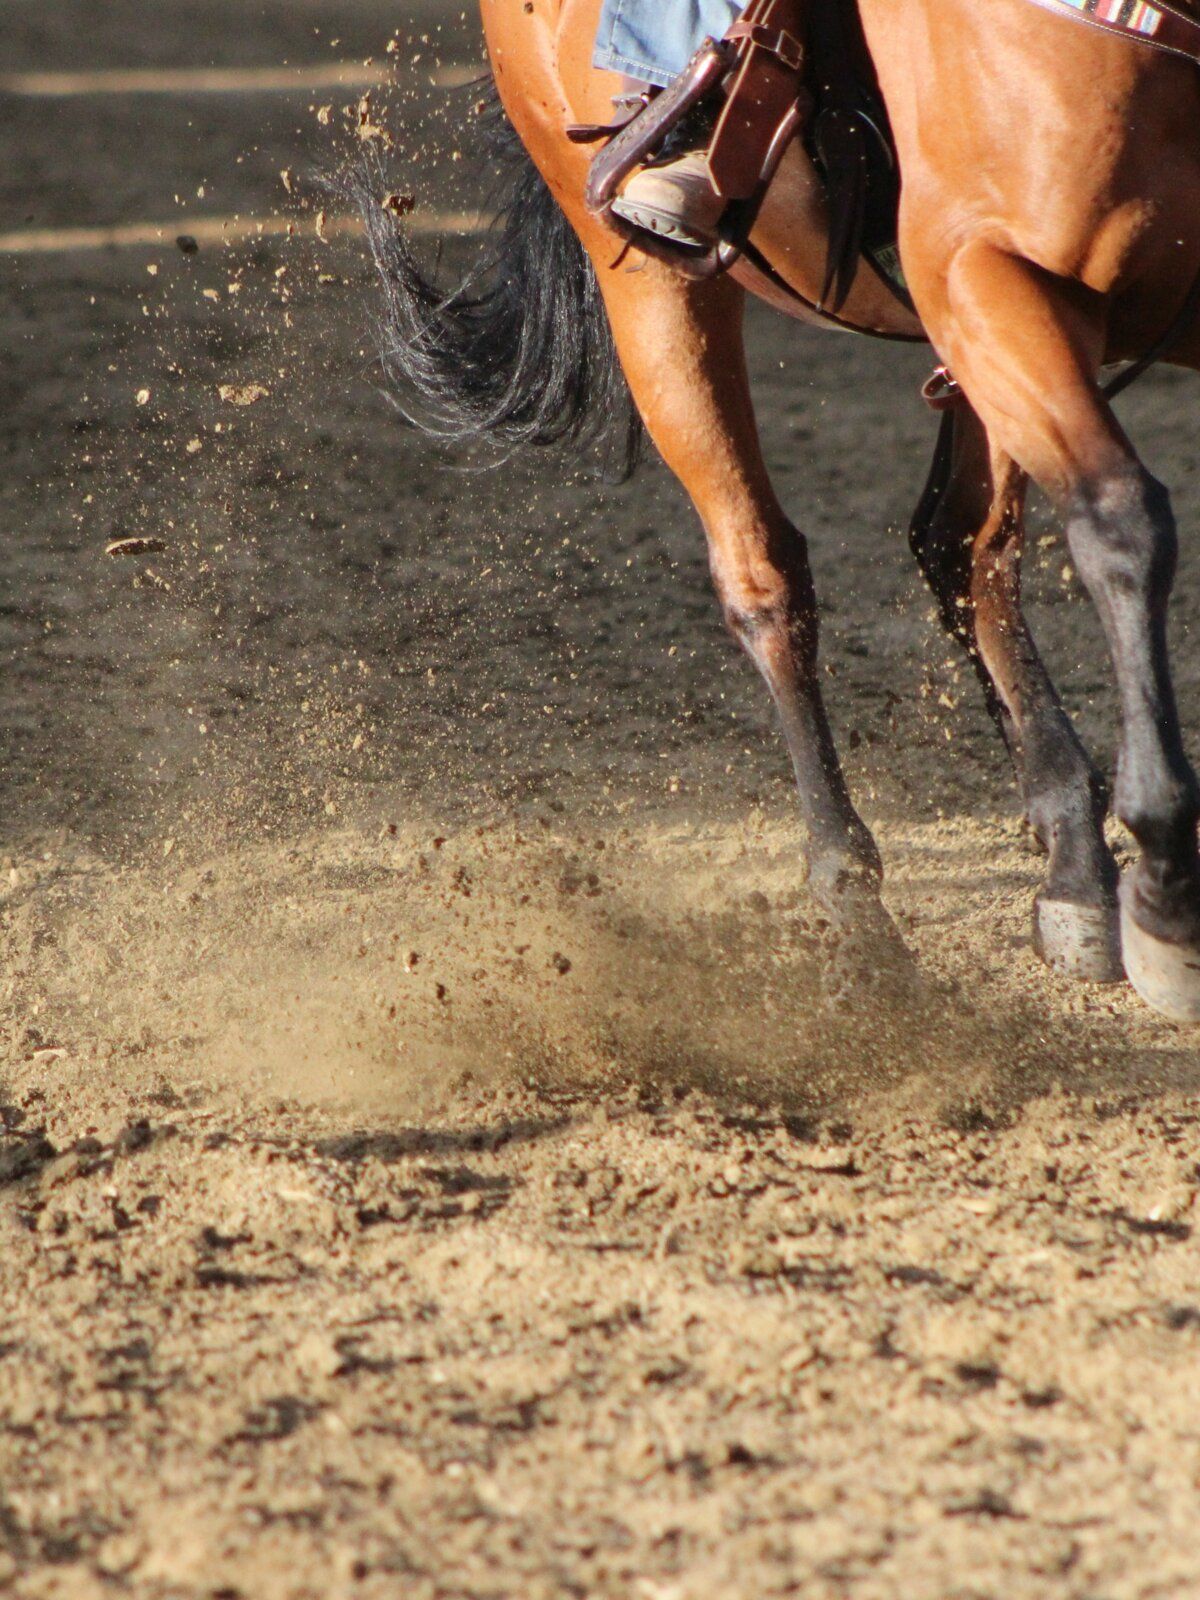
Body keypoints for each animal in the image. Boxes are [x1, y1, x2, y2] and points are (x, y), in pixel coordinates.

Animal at [361, 0, 1200, 1024]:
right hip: (661, 290)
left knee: (962, 546)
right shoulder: (992, 270)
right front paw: (1169, 906)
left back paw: (1074, 869)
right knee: (769, 577)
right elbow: (1124, 528)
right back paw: (860, 914)